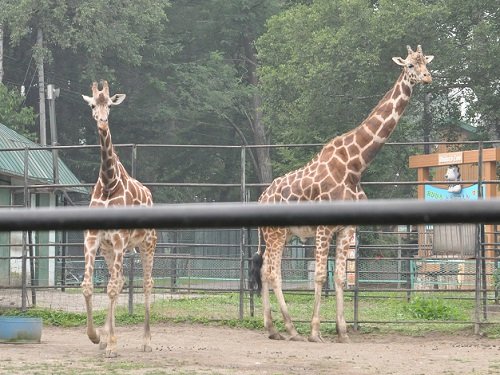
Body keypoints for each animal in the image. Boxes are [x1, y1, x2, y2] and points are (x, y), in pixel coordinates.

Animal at [81, 81, 157, 358]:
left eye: (110, 106)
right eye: (93, 104)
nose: (102, 123)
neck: (108, 182)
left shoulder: (119, 239)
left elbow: (112, 288)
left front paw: (112, 345)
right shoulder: (93, 239)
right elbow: (89, 286)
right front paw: (96, 337)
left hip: (146, 244)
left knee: (146, 283)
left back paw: (146, 342)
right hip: (109, 250)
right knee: (120, 281)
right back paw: (106, 338)